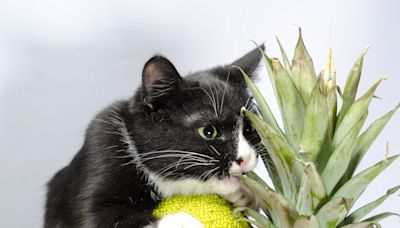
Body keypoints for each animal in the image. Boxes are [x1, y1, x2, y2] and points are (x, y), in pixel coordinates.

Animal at [44, 45, 266, 227]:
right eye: (208, 131)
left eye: (249, 129)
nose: (245, 159)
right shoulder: (101, 150)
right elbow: (99, 219)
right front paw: (184, 221)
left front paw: (245, 195)